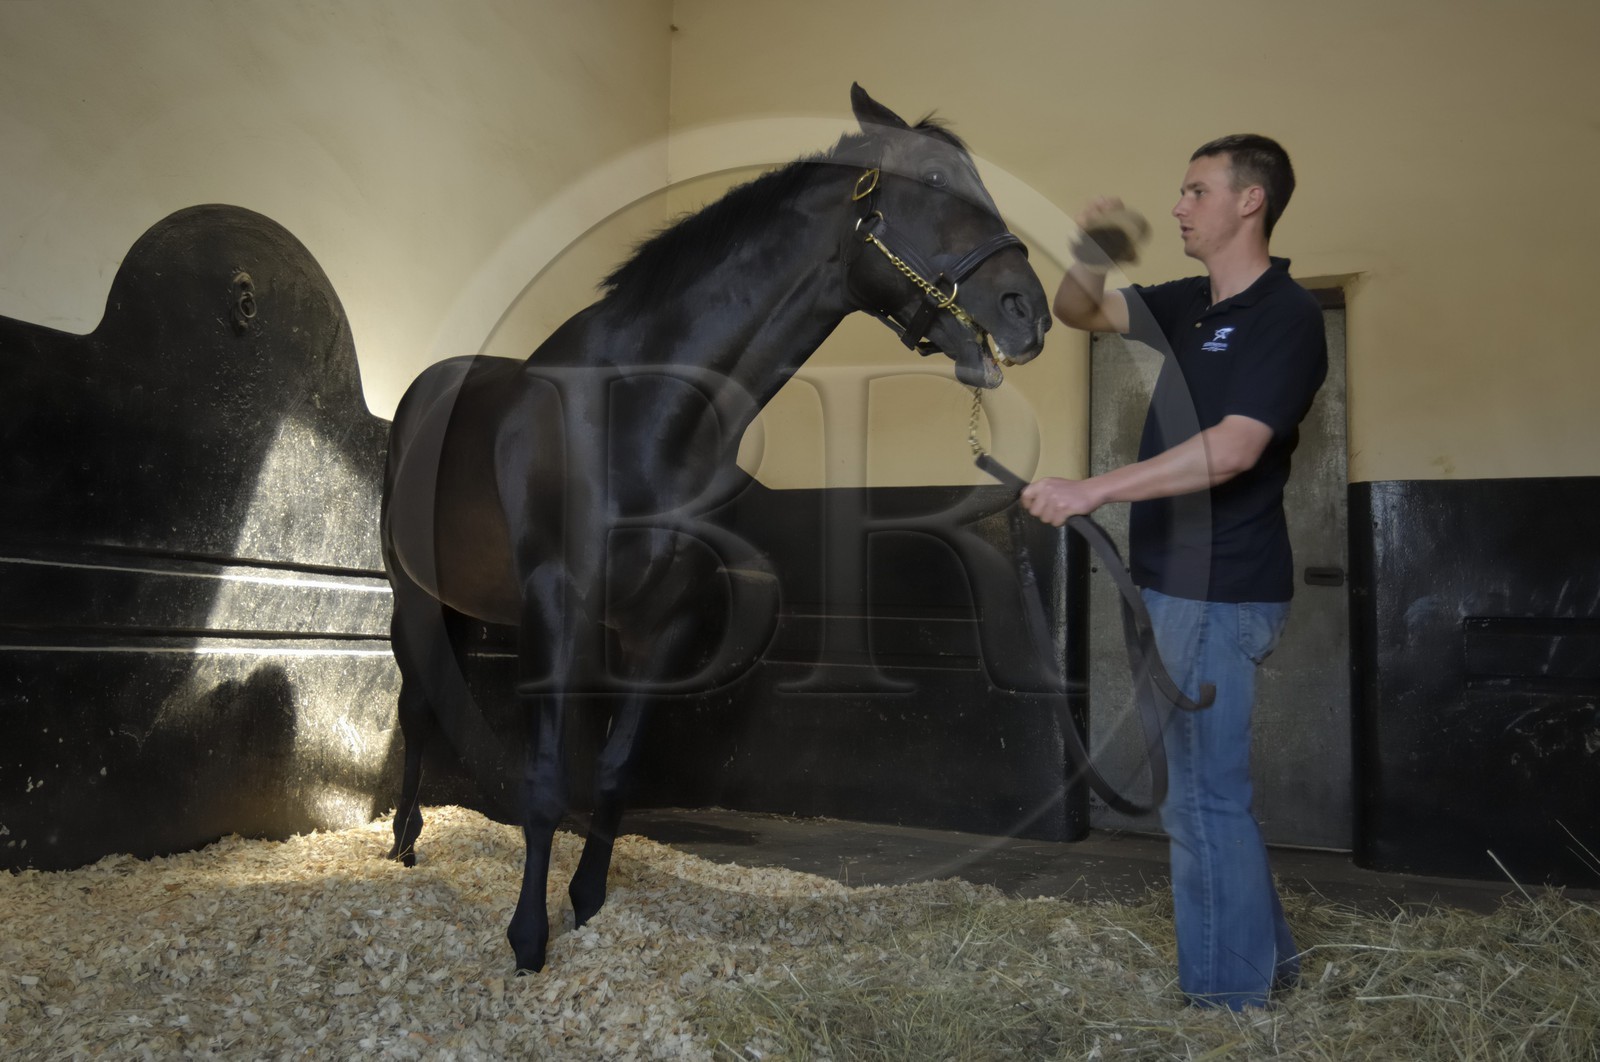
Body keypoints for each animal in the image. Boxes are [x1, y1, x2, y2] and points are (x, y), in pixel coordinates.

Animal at [379, 84, 1051, 973]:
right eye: (937, 180)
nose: (1029, 312)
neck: (643, 410)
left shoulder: (664, 621)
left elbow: (615, 771)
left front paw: (586, 905)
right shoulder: (557, 603)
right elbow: (546, 779)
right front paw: (528, 940)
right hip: (412, 597)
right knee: (416, 704)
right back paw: (405, 839)